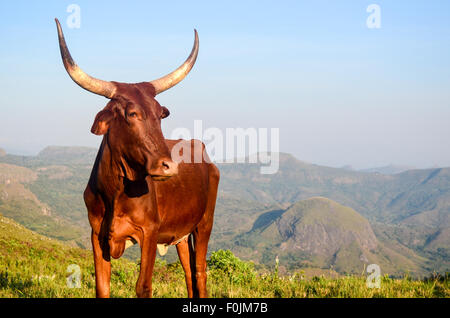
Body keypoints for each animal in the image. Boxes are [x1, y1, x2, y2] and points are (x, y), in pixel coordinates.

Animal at [54, 18, 220, 296]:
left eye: (160, 114)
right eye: (132, 113)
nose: (168, 167)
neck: (115, 191)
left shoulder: (149, 232)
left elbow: (143, 286)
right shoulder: (96, 234)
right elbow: (102, 286)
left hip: (205, 223)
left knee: (200, 271)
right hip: (181, 234)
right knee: (188, 272)